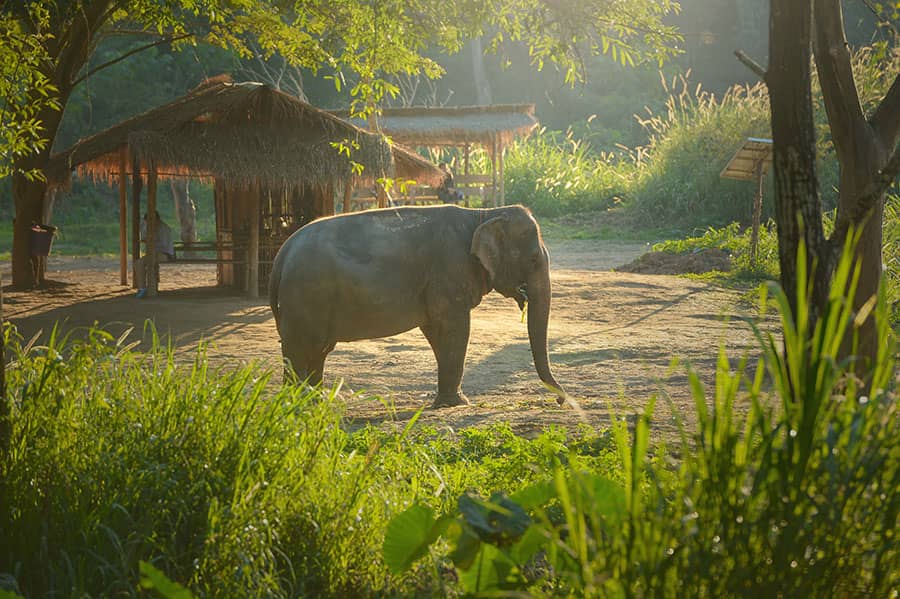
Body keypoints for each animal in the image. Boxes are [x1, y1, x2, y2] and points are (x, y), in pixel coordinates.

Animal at [268, 205, 568, 408]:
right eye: (533, 259)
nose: (560, 402)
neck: (482, 214)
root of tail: (282, 253)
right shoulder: (450, 271)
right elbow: (455, 329)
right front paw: (457, 404)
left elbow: (437, 332)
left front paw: (448, 400)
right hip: (305, 296)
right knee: (301, 349)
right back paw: (295, 404)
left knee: (318, 350)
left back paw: (313, 402)